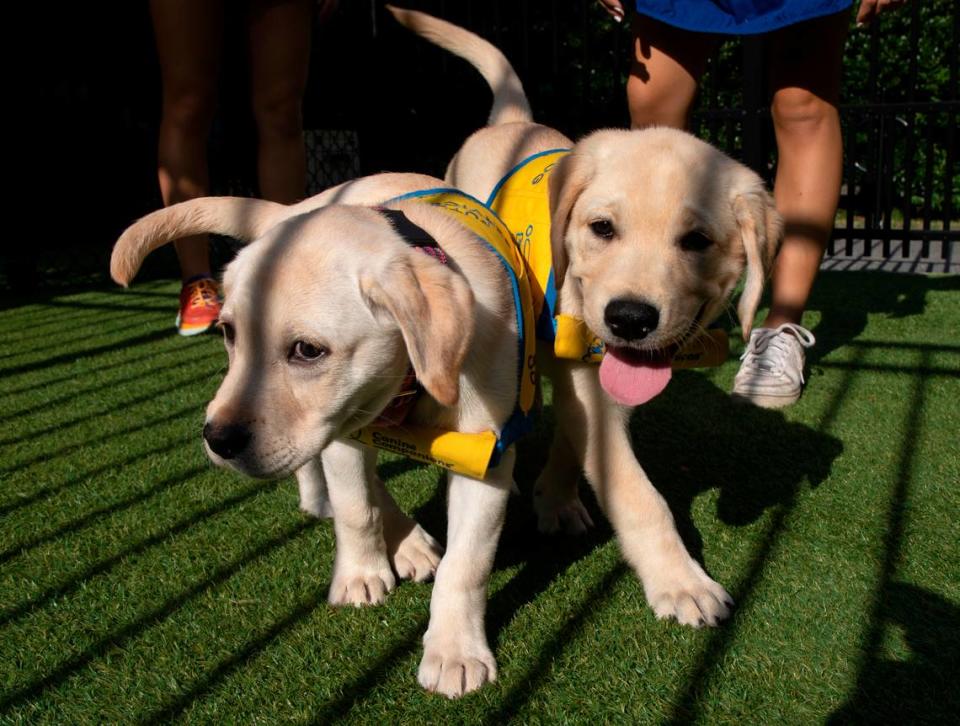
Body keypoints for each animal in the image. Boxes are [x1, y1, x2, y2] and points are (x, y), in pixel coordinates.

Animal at [114, 172, 532, 700]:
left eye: (307, 350)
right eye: (229, 333)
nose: (216, 439)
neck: (407, 385)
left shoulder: (483, 453)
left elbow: (468, 562)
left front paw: (455, 651)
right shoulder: (341, 428)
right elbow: (356, 510)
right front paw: (360, 575)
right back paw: (378, 528)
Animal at [388, 8, 780, 628]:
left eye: (697, 241)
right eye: (602, 228)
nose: (629, 319)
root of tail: (515, 122)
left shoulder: (593, 377)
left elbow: (578, 434)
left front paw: (557, 496)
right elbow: (641, 497)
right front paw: (682, 582)